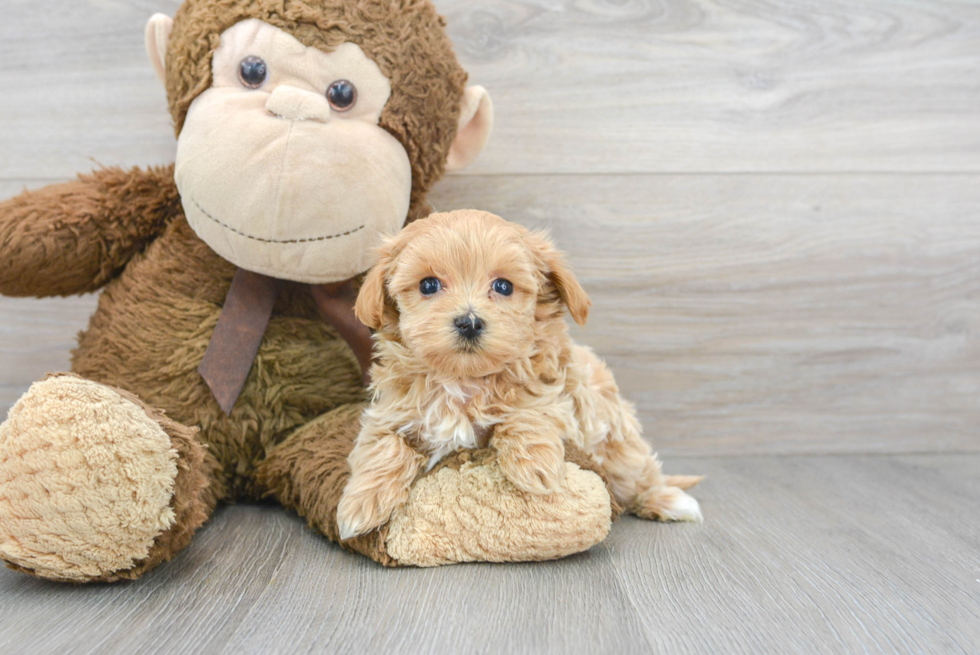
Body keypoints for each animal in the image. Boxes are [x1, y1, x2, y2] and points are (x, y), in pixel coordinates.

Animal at [338, 213, 704, 540]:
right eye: (428, 284)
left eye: (503, 286)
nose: (469, 322)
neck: (463, 380)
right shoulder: (388, 413)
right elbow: (382, 447)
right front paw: (361, 505)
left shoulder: (559, 393)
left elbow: (530, 409)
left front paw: (535, 467)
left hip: (618, 442)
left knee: (640, 477)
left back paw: (670, 501)